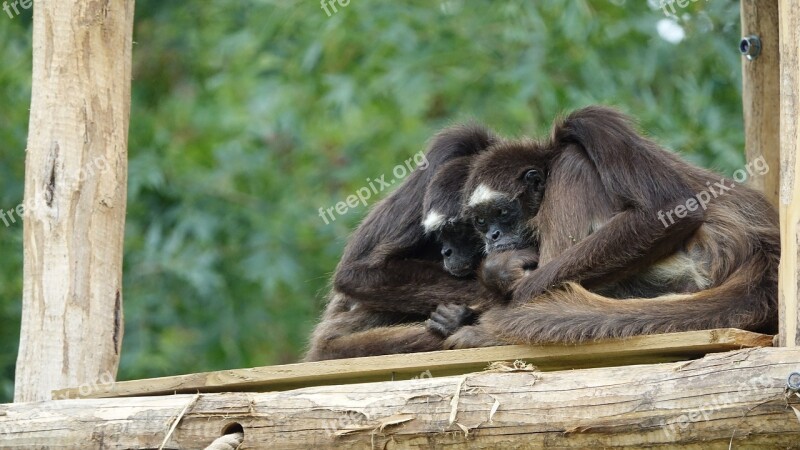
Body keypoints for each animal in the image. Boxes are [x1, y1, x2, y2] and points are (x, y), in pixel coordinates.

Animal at [446, 106, 780, 348]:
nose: (493, 236)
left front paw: (506, 289)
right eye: (481, 222)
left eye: (502, 213)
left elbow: (668, 208)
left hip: (698, 261)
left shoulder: (594, 121)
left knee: (573, 162)